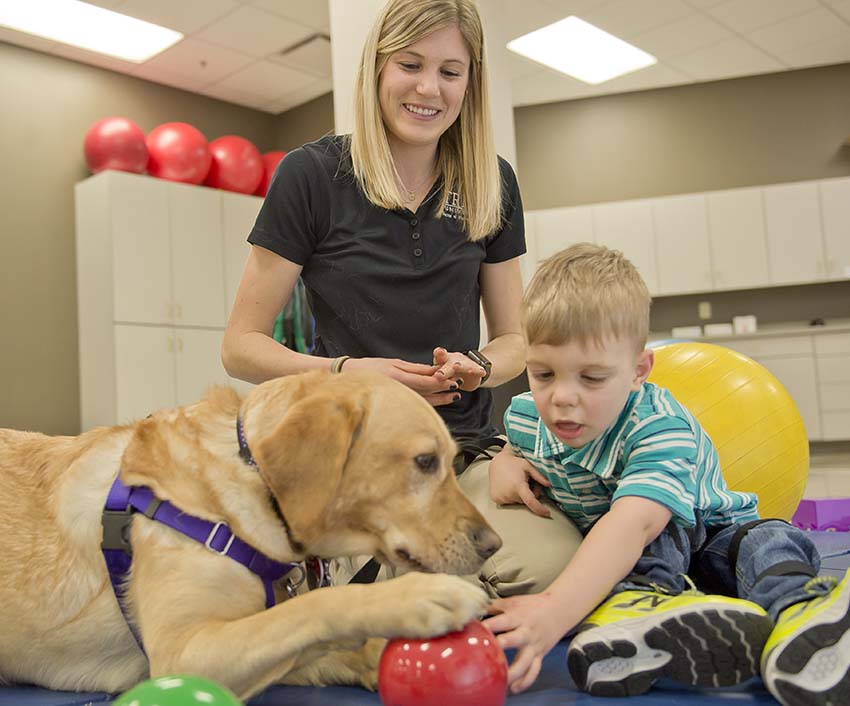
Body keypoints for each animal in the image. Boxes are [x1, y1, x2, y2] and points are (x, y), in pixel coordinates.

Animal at [0, 368, 496, 700]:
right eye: (425, 462)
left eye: (452, 460)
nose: (493, 544)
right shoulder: (184, 652)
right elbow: (317, 605)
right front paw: (417, 598)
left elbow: (324, 638)